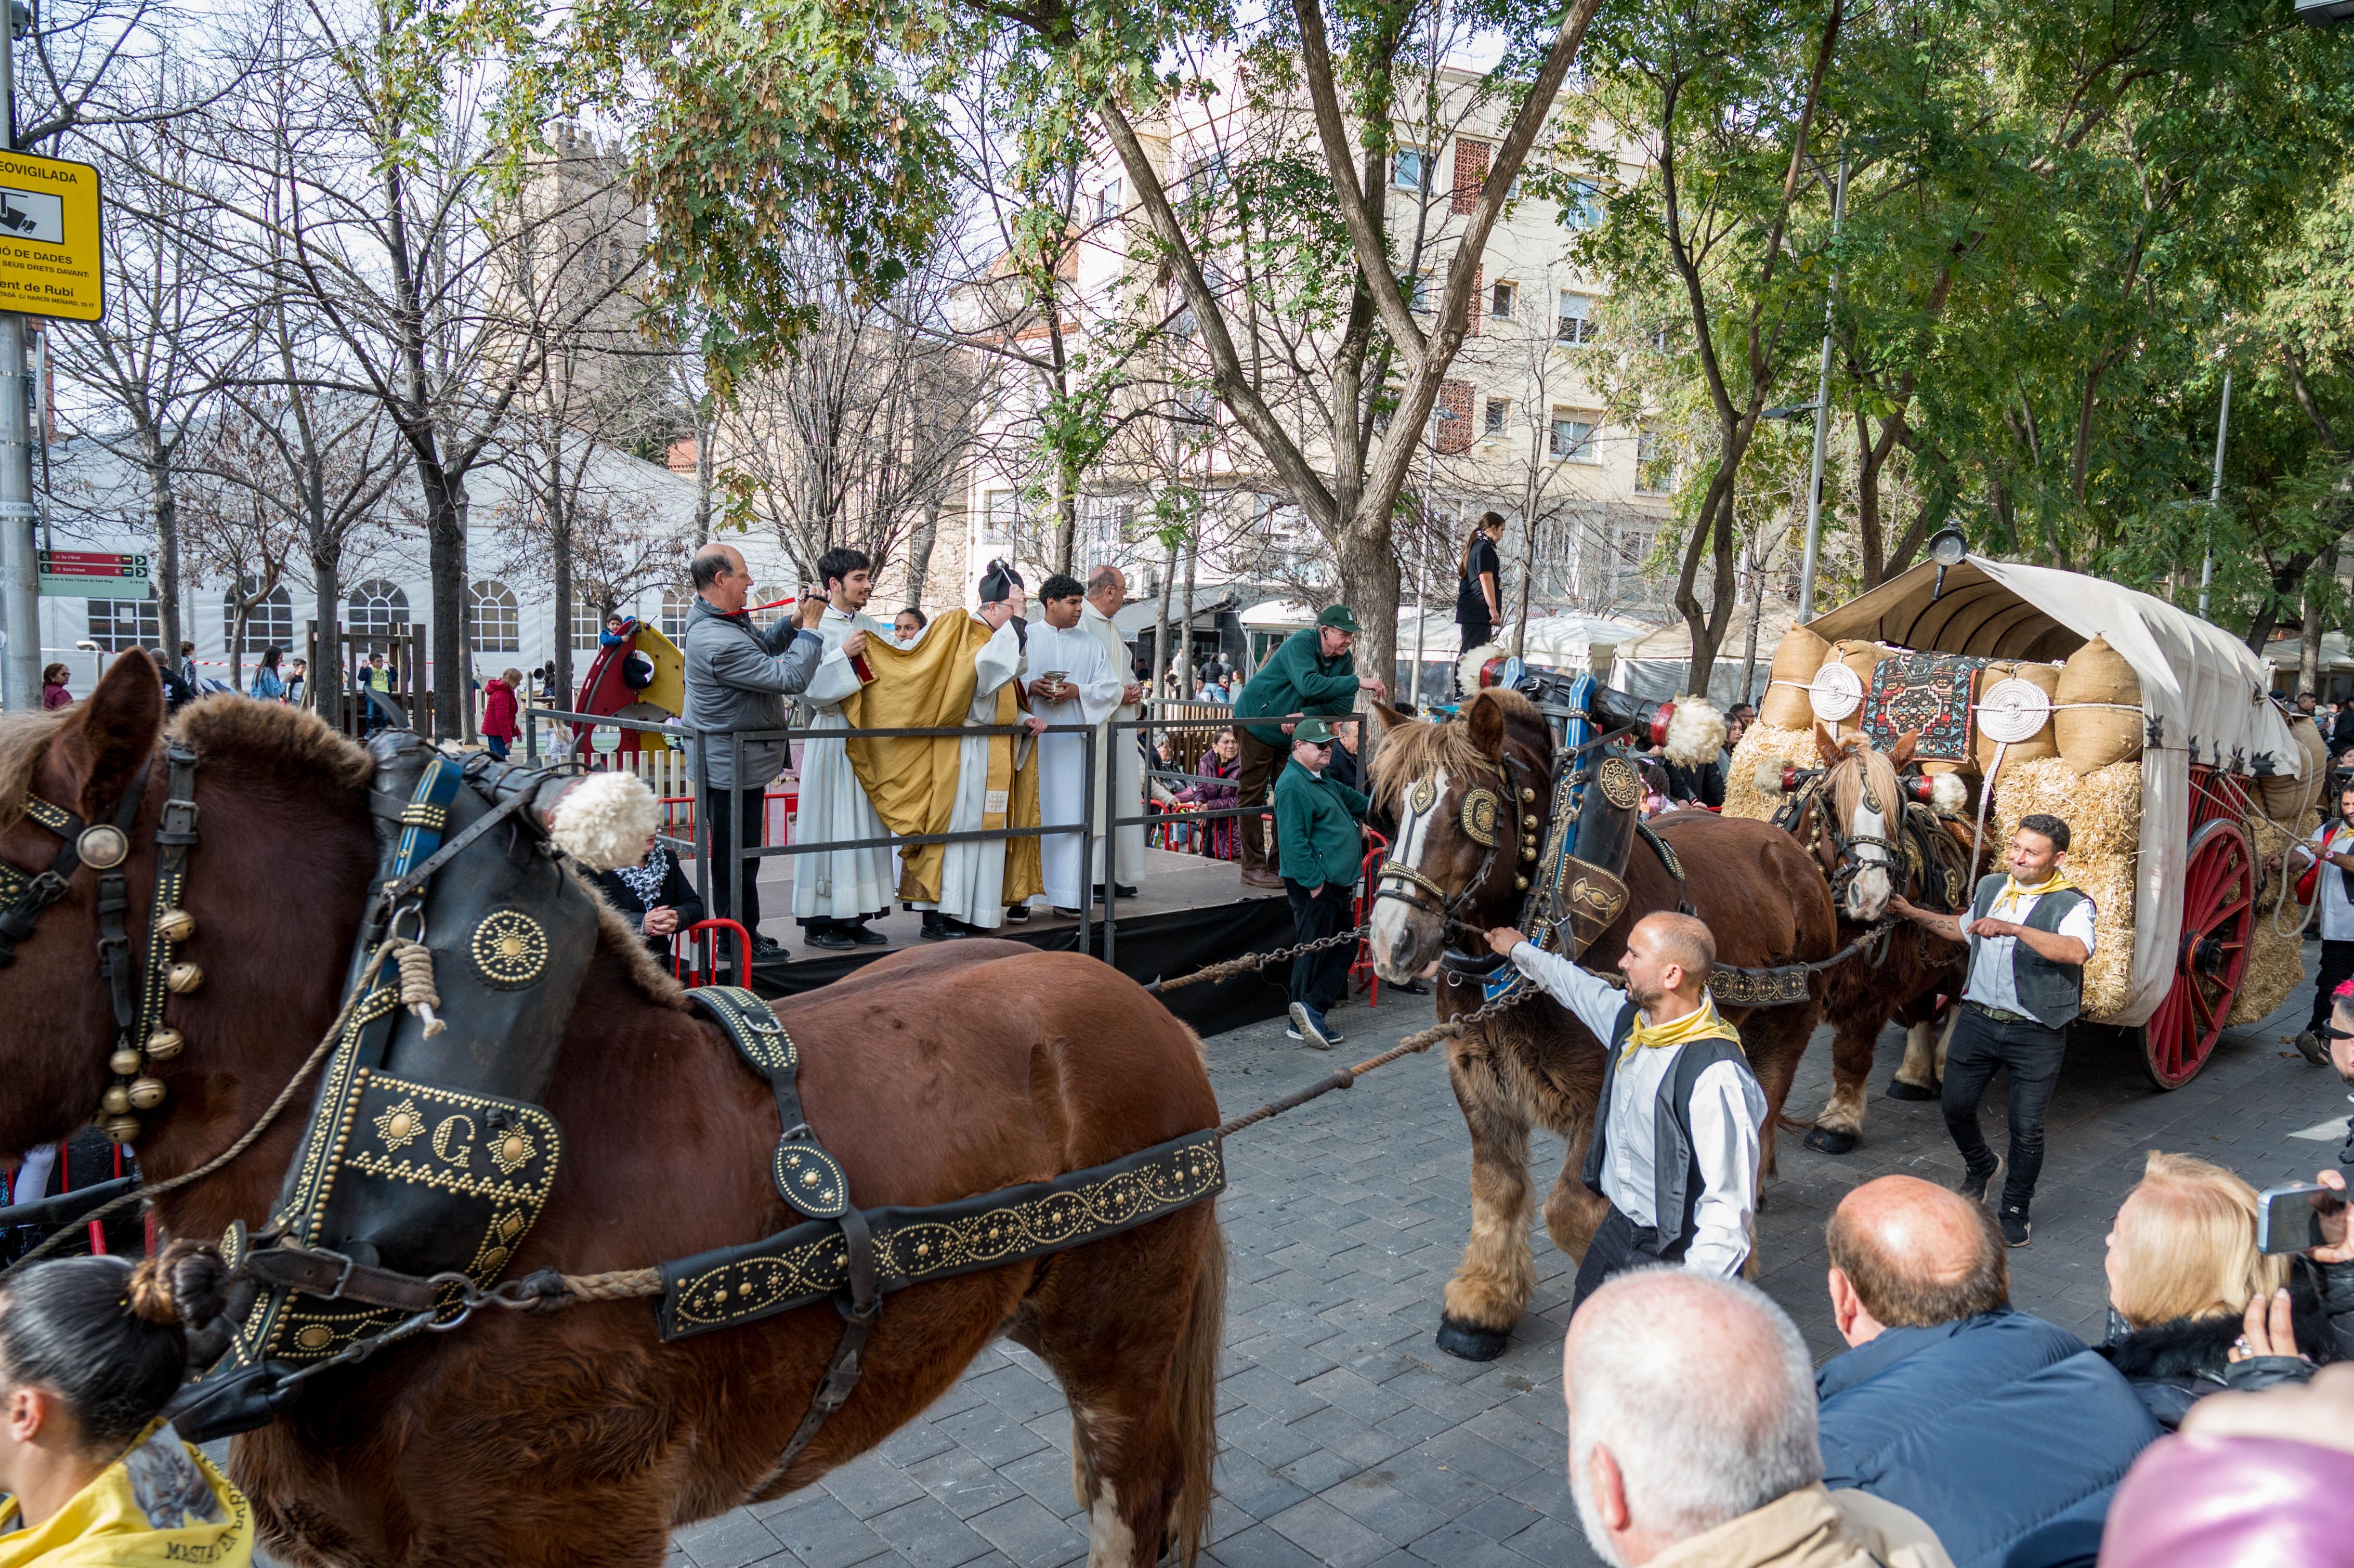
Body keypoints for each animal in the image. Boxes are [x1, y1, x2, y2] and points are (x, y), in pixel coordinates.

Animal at [1365, 687, 1836, 1356]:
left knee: (1761, 1113)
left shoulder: (1602, 1091)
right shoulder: (1478, 1076)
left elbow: (1567, 1208)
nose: (1392, 942)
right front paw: (1482, 1304)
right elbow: (1498, 1187)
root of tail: (1789, 847)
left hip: (1789, 1021)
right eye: (1389, 808)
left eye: (1469, 812)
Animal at [1780, 720, 1986, 1134]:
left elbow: (1853, 1051)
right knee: (1923, 1001)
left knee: (1959, 992)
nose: (1871, 896)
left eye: (1898, 807)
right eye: (1830, 802)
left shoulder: (1878, 981)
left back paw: (1944, 1062)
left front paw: (1839, 1121)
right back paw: (1914, 1075)